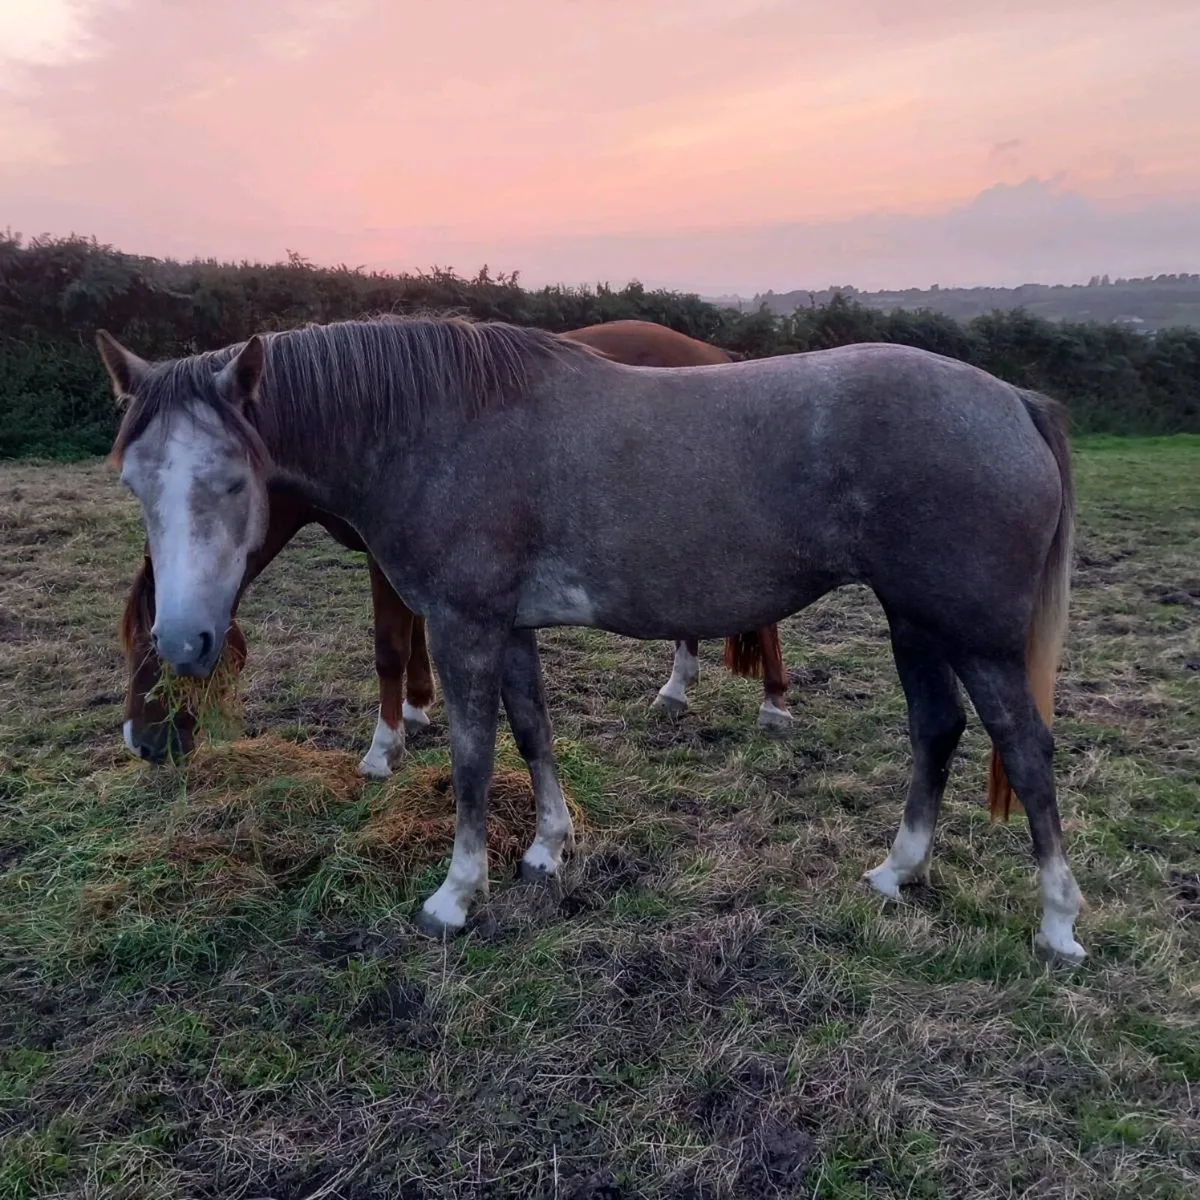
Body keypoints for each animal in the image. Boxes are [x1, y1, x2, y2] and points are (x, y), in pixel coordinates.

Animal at [118, 319, 791, 773]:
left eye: (150, 653)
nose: (144, 744)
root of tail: (715, 353)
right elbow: (414, 635)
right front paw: (419, 708)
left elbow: (389, 646)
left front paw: (383, 746)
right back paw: (677, 688)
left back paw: (775, 704)